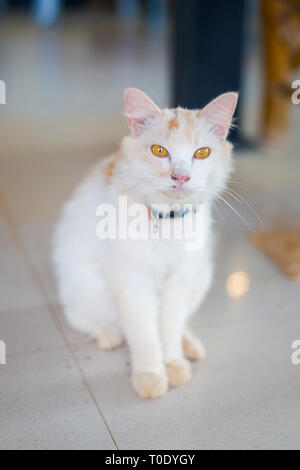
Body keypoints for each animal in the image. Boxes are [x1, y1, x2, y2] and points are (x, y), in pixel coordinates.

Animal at [52, 87, 238, 396]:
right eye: (159, 151)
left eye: (202, 153)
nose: (181, 177)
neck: (166, 220)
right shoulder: (132, 283)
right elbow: (145, 337)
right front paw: (150, 377)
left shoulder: (179, 281)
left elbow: (170, 330)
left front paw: (174, 365)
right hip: (80, 291)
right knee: (97, 324)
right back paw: (111, 337)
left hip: (201, 277)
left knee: (183, 324)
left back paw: (191, 348)